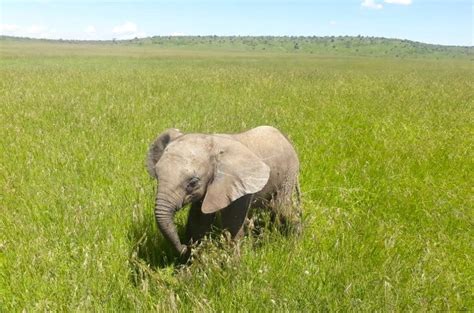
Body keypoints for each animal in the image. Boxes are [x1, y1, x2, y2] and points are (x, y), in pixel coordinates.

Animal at [145, 125, 300, 256]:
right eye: (157, 175)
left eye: (193, 183)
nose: (183, 247)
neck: (212, 143)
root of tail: (284, 136)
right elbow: (198, 221)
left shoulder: (238, 185)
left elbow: (231, 225)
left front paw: (233, 265)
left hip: (289, 173)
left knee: (282, 208)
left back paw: (295, 241)